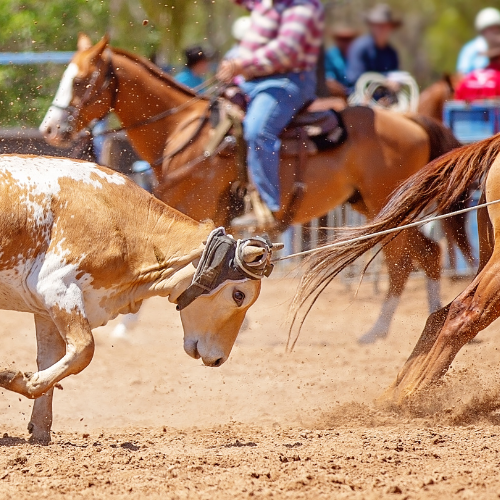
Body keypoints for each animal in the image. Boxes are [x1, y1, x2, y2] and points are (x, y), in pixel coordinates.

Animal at [0, 154, 278, 444]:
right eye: (239, 295)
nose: (218, 359)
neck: (118, 221)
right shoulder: (59, 288)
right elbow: (84, 350)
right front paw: (11, 378)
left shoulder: (46, 310)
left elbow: (51, 359)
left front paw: (39, 430)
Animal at [41, 35, 466, 342]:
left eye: (79, 80)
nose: (49, 129)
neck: (184, 133)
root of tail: (409, 119)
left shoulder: (190, 208)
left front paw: (125, 327)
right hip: (373, 206)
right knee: (421, 256)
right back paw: (415, 322)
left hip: (387, 203)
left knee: (412, 258)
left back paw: (384, 328)